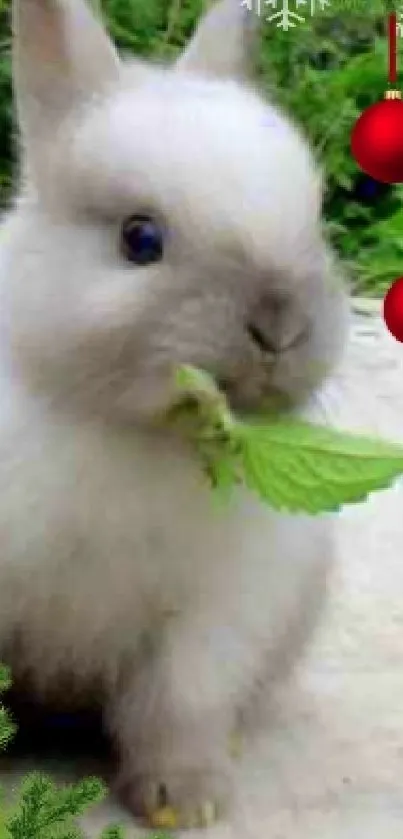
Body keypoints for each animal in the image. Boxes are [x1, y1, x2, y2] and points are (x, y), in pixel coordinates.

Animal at [0, 0, 348, 828]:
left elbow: (176, 708)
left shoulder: (213, 620)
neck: (136, 435)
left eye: (313, 219)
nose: (279, 326)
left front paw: (184, 801)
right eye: (140, 239)